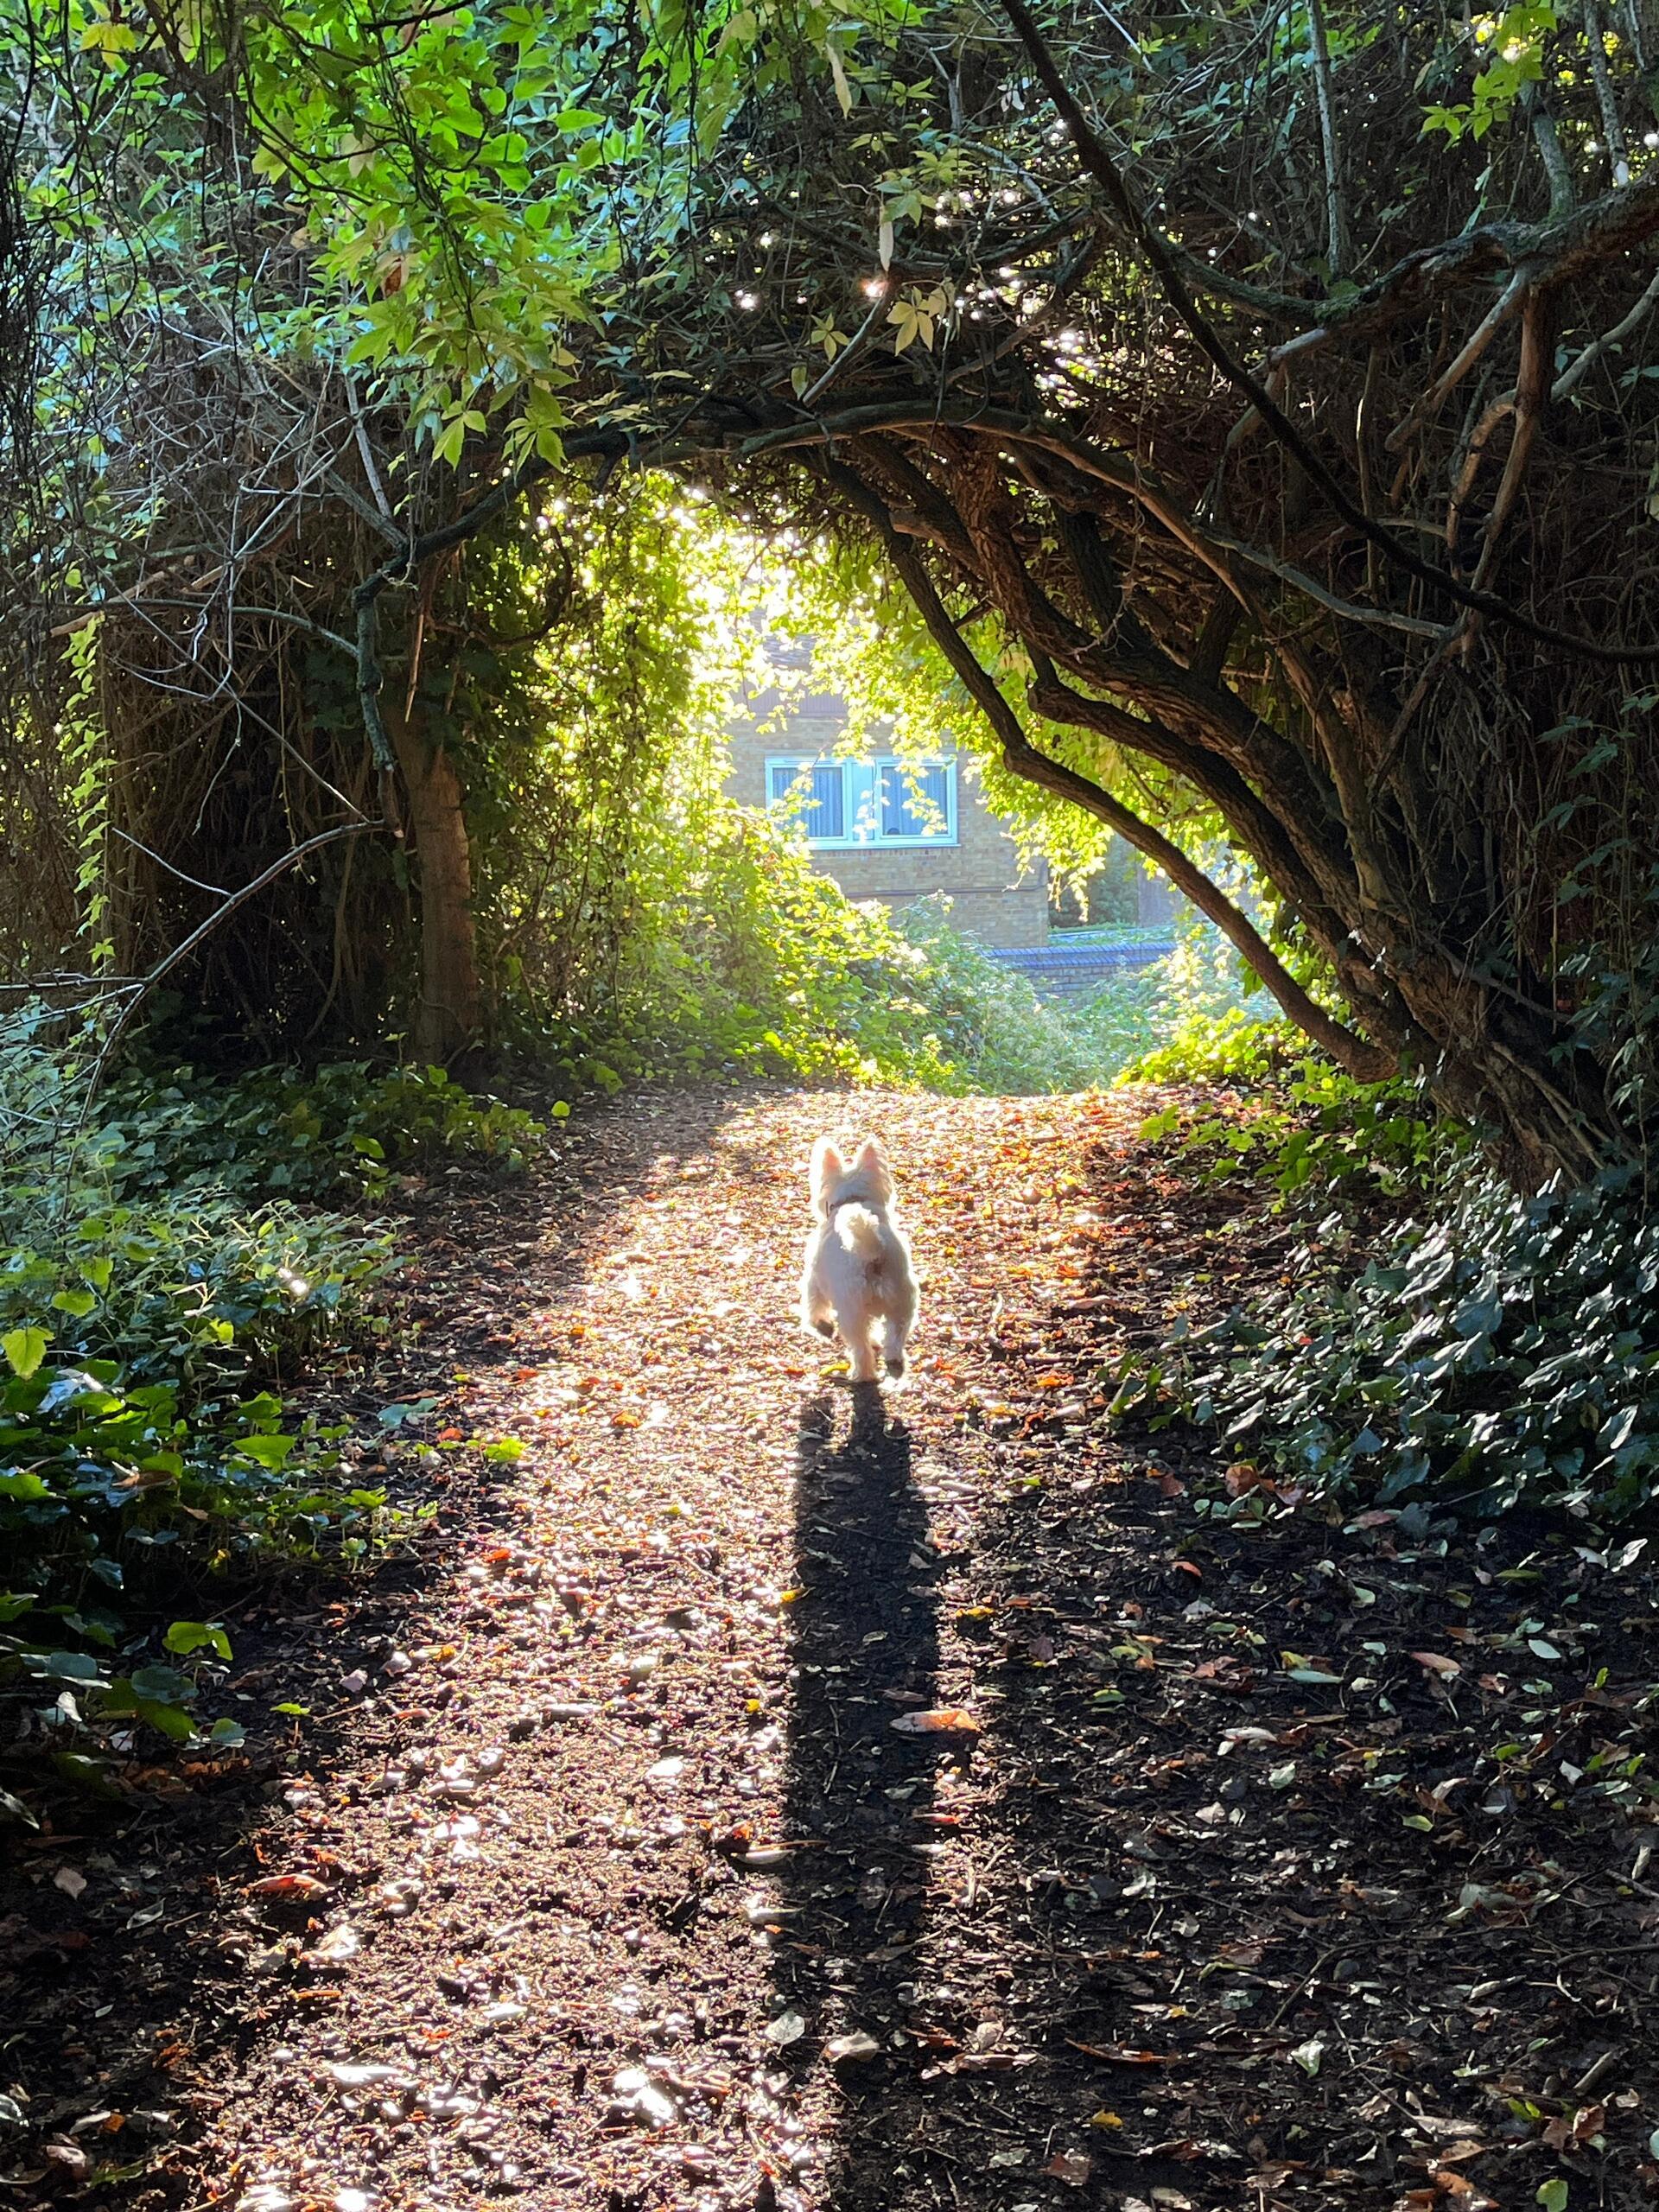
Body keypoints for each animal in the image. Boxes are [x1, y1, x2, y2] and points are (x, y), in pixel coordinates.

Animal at [796, 1141, 915, 1380]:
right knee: (894, 1338)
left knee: (861, 1349)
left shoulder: (814, 1278)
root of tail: (873, 1254)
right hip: (901, 1306)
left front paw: (817, 1321)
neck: (853, 1199)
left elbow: (814, 1302)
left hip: (851, 1312)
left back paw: (860, 1375)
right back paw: (893, 1358)